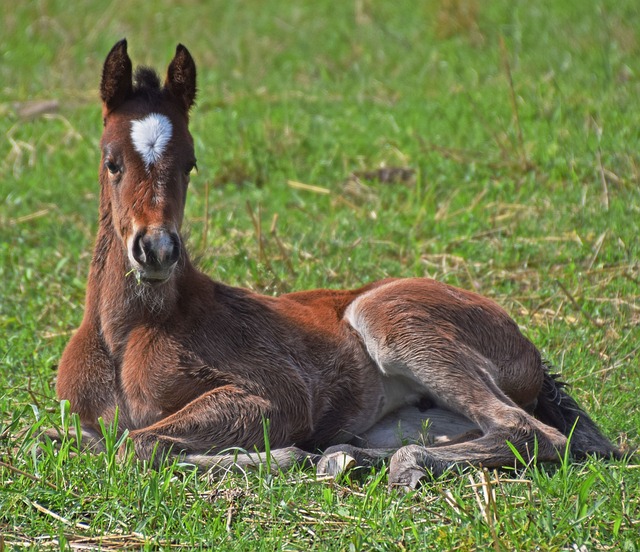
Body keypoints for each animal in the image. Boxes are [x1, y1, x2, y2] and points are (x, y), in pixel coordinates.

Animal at [56, 42, 620, 488]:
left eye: (190, 163)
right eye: (112, 161)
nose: (157, 250)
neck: (130, 332)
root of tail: (530, 350)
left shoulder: (281, 398)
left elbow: (137, 444)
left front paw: (286, 455)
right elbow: (74, 438)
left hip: (391, 320)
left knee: (529, 430)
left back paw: (397, 465)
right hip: (410, 413)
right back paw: (347, 458)